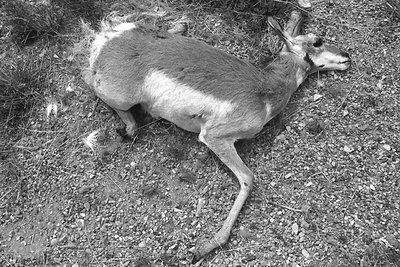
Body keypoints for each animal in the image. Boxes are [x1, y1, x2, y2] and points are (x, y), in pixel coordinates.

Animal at [84, 12, 350, 260]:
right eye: (317, 41)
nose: (347, 56)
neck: (265, 87)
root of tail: (108, 40)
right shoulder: (215, 137)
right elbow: (248, 177)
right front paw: (207, 246)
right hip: (121, 97)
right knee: (97, 89)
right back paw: (128, 128)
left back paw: (179, 27)